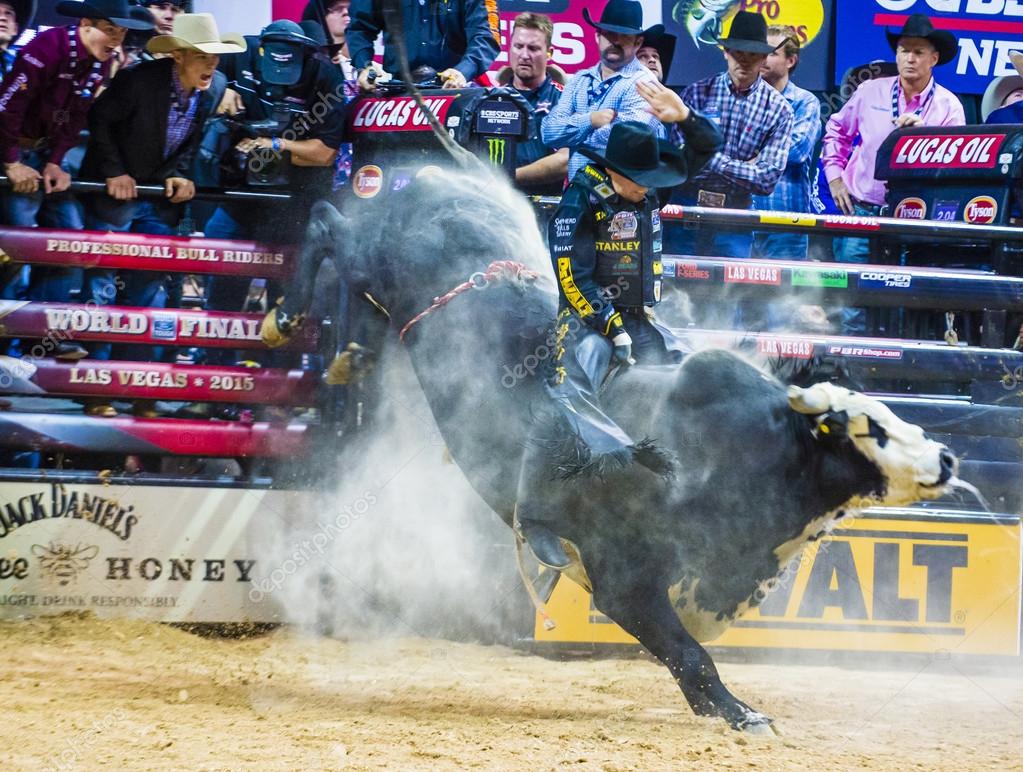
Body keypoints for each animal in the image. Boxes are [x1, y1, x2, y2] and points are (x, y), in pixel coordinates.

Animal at [268, 183, 953, 736]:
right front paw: (742, 715)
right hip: (377, 259)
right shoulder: (622, 580)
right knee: (329, 223)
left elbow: (687, 653)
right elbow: (689, 654)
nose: (945, 458)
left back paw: (351, 353)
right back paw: (284, 318)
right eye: (863, 427)